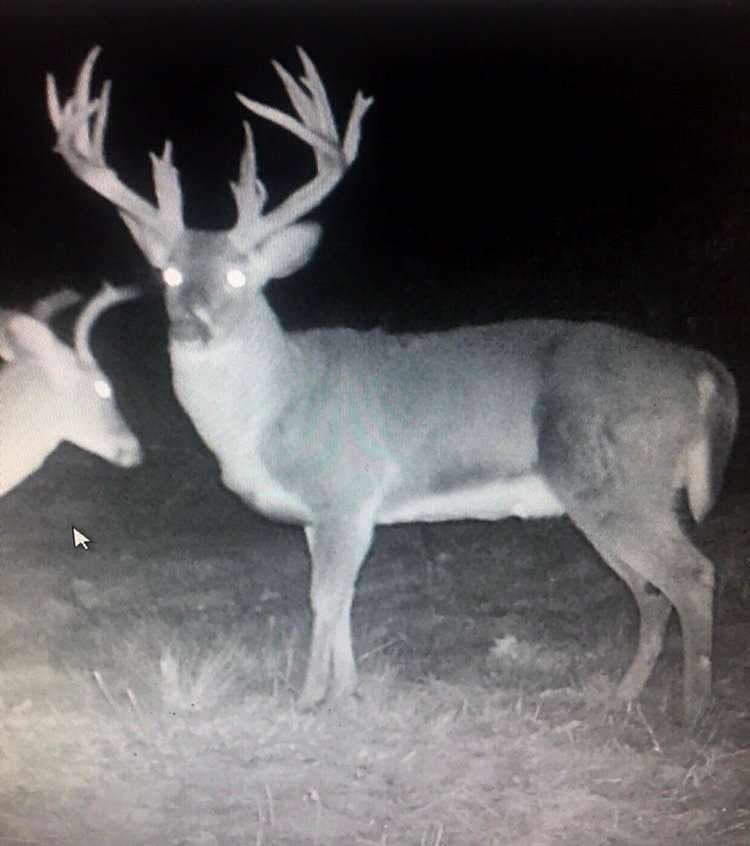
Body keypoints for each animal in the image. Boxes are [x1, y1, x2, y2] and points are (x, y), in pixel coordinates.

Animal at [47, 47, 738, 726]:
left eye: (240, 276)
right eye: (167, 274)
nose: (190, 325)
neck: (270, 405)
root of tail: (698, 365)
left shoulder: (345, 493)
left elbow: (324, 599)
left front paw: (310, 697)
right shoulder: (324, 515)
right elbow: (343, 600)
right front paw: (348, 690)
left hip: (621, 482)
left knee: (692, 575)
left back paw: (691, 714)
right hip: (606, 498)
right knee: (652, 593)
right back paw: (623, 697)